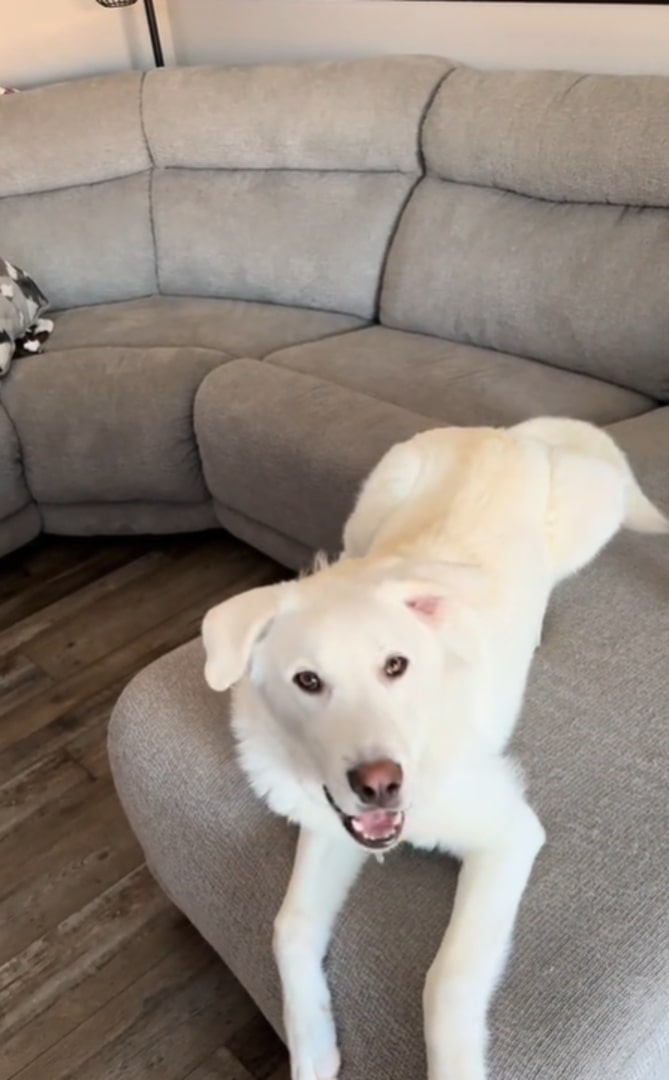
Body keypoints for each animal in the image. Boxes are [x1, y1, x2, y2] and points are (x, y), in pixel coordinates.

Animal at [201, 419, 665, 1080]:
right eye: (307, 681)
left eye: (396, 665)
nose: (379, 784)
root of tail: (502, 432)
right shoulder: (330, 824)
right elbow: (288, 927)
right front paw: (313, 1048)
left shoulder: (509, 835)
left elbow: (445, 979)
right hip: (369, 508)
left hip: (593, 510)